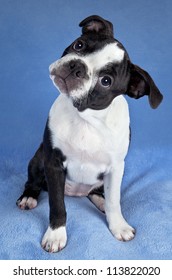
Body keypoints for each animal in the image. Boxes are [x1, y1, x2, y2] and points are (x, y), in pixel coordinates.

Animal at [16, 14, 163, 252]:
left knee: (100, 193)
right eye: (79, 45)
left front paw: (118, 225)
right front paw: (56, 235)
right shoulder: (53, 163)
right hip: (38, 159)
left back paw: (101, 202)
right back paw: (28, 197)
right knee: (33, 182)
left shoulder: (116, 167)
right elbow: (57, 204)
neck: (86, 119)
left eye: (106, 81)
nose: (77, 66)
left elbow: (114, 200)